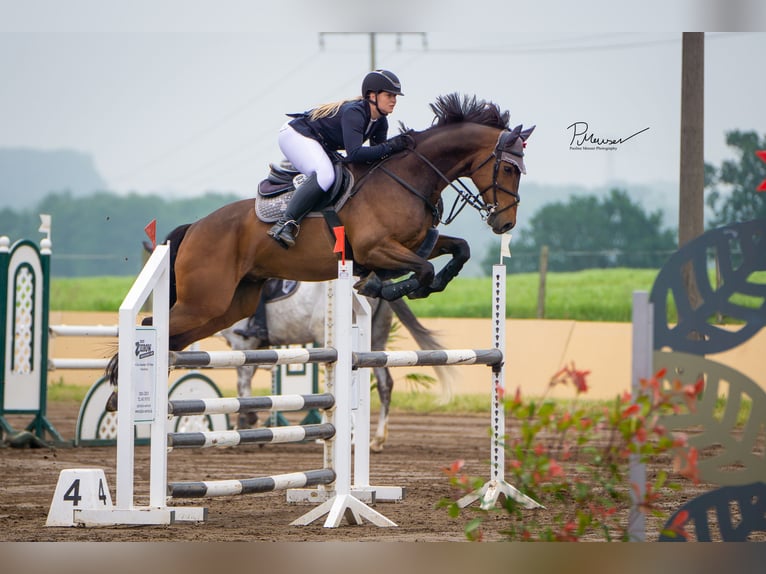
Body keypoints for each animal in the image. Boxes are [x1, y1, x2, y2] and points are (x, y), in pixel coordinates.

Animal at [106, 94, 536, 398]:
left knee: (172, 333)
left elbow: (457, 250)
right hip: (205, 300)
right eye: (508, 168)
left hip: (231, 305)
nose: (505, 223)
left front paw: (409, 286)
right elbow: (421, 269)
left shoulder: (415, 244)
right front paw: (385, 286)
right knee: (153, 323)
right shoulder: (376, 248)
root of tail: (195, 227)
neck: (409, 177)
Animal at [219, 282, 452, 452]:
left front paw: (244, 425)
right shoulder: (253, 349)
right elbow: (246, 384)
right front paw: (248, 426)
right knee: (385, 384)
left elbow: (243, 386)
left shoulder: (242, 344)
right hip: (376, 341)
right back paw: (377, 440)